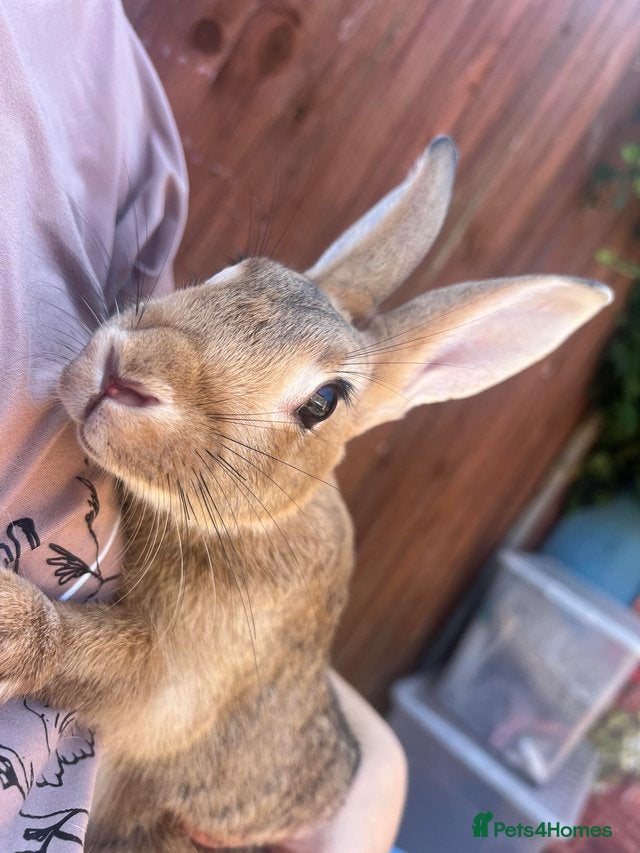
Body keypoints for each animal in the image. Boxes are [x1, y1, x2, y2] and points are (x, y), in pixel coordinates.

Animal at [0, 136, 612, 852]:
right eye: (233, 268)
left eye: (323, 403)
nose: (126, 373)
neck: (248, 522)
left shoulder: (177, 687)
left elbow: (89, 652)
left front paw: (9, 621)